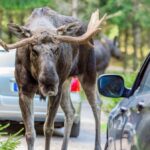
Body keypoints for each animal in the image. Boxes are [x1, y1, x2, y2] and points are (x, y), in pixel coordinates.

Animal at [0, 7, 106, 150]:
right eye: (34, 50)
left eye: (57, 49)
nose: (49, 82)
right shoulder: (24, 91)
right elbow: (30, 133)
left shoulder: (56, 91)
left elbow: (48, 128)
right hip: (66, 82)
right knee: (70, 111)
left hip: (88, 73)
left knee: (97, 104)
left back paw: (98, 145)